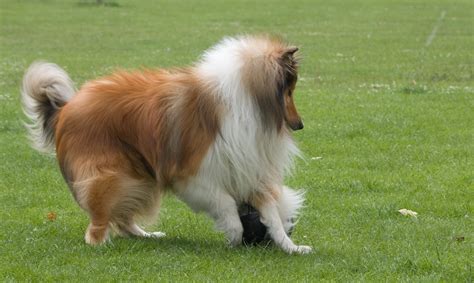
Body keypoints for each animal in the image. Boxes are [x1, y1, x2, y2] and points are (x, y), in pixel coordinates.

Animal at [21, 35, 312, 255]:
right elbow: (227, 202)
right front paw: (234, 234)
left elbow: (272, 215)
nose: (299, 125)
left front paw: (291, 247)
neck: (248, 104)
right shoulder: (192, 175)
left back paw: (147, 235)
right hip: (111, 176)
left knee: (123, 219)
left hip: (139, 177)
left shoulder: (250, 167)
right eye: (289, 91)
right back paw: (100, 242)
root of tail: (67, 106)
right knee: (99, 222)